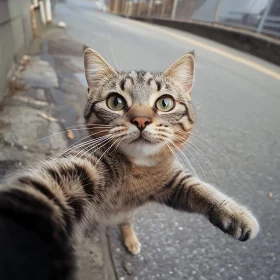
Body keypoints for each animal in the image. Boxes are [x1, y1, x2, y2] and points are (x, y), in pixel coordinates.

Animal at [0, 48, 260, 280]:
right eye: (115, 102)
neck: (137, 168)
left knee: (126, 222)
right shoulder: (85, 166)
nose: (141, 120)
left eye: (165, 103)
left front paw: (235, 214)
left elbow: (202, 190)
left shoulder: (174, 182)